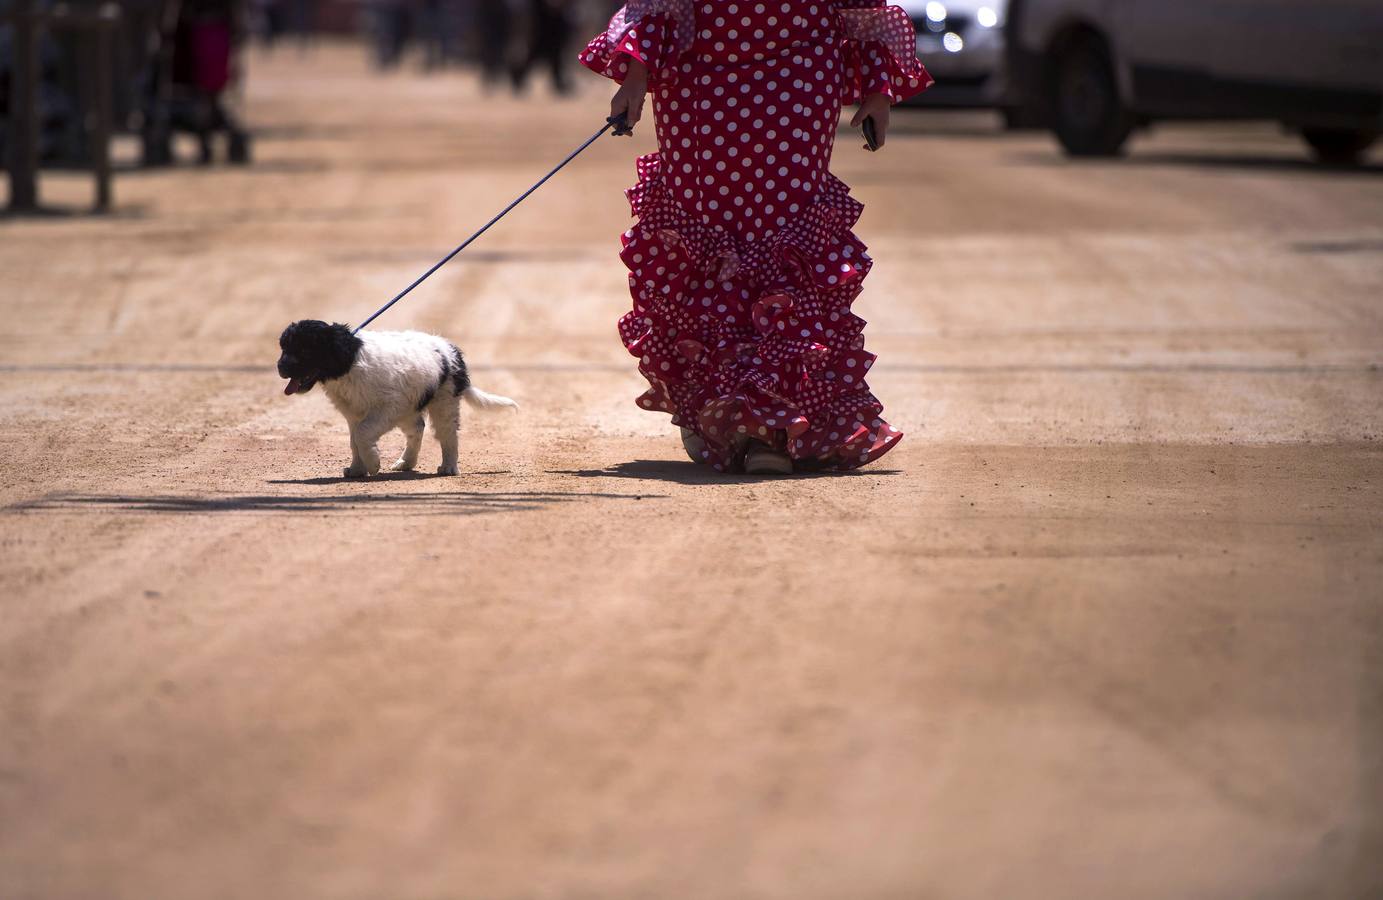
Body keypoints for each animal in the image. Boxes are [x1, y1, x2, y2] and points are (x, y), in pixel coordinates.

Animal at [277, 322, 517, 478]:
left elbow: (362, 434)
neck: (349, 361)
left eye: (304, 349)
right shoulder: (354, 413)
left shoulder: (388, 406)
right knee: (417, 428)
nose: (280, 368)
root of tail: (452, 350)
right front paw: (357, 469)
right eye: (284, 348)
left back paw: (448, 468)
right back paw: (406, 462)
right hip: (411, 405)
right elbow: (354, 440)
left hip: (443, 400)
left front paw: (373, 464)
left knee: (448, 434)